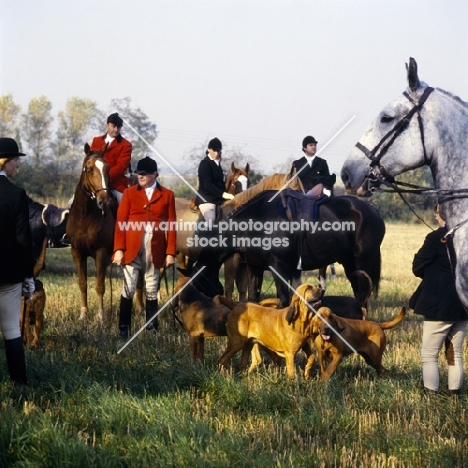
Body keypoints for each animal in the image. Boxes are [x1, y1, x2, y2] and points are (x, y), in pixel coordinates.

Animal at [65, 144, 116, 322]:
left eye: (108, 168)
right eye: (88, 169)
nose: (105, 201)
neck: (85, 216)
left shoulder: (101, 253)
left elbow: (100, 285)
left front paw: (100, 316)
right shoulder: (77, 252)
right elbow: (83, 283)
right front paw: (83, 315)